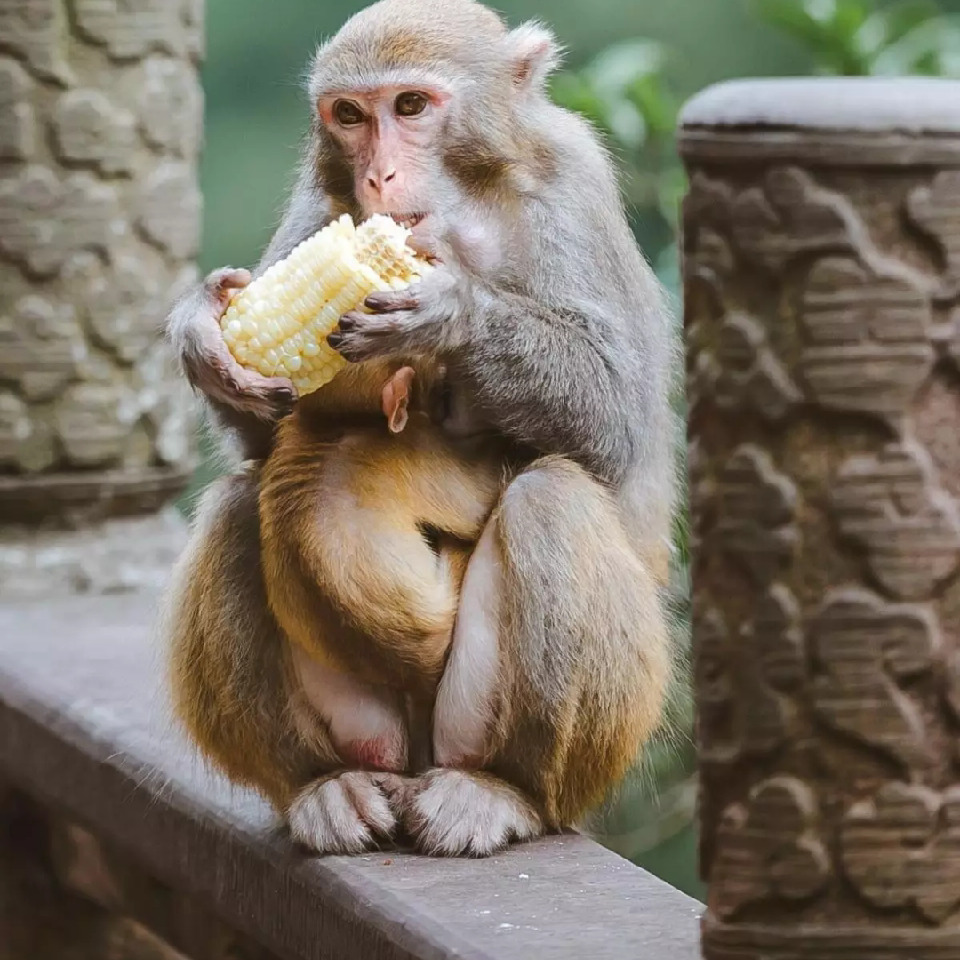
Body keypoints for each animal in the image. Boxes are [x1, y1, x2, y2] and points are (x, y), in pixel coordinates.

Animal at [163, 0, 676, 856]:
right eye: (349, 115)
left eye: (410, 106)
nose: (379, 177)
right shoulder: (323, 203)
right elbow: (267, 437)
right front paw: (203, 331)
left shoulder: (573, 183)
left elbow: (616, 426)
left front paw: (450, 313)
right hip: (373, 730)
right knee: (239, 504)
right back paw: (323, 785)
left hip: (572, 742)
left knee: (551, 499)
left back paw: (501, 788)